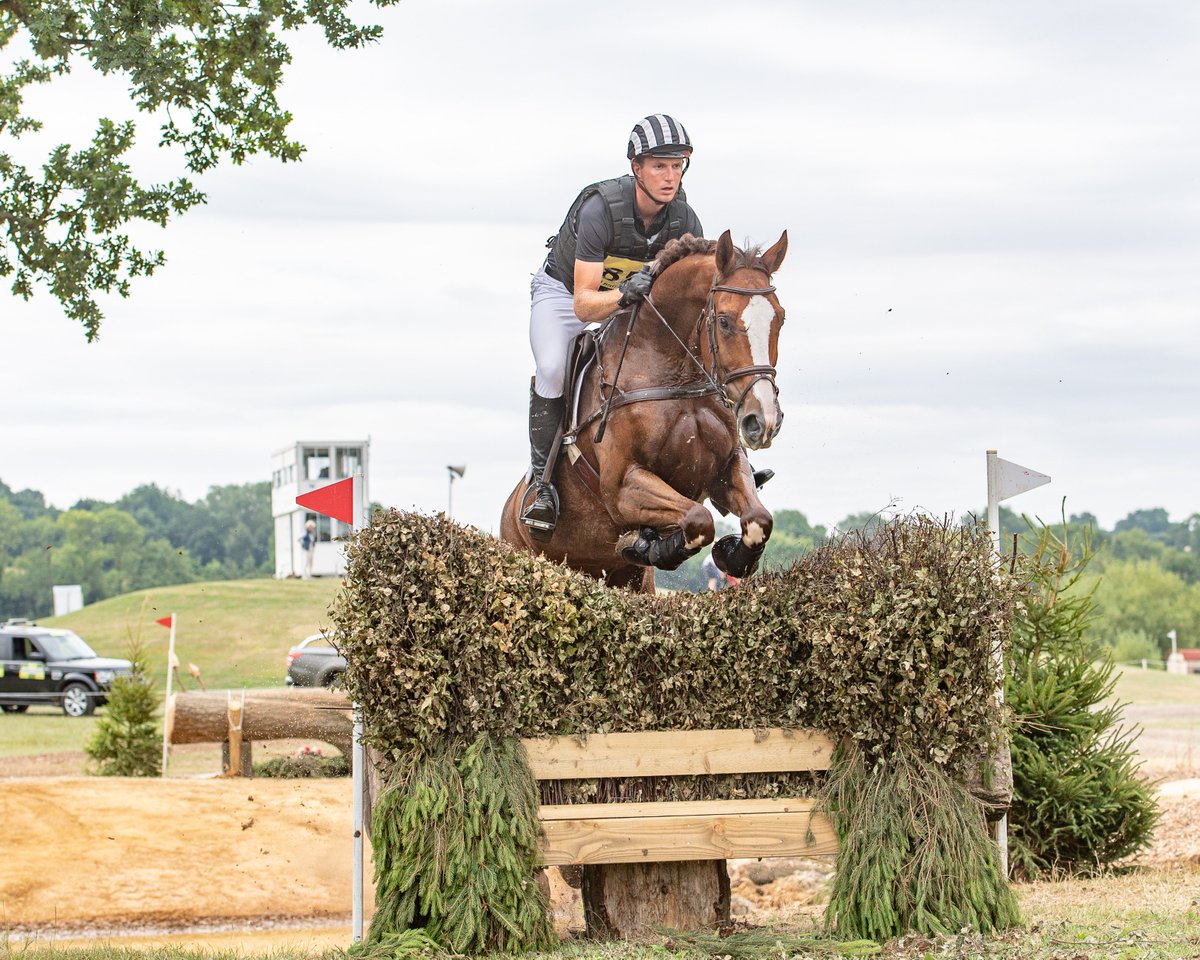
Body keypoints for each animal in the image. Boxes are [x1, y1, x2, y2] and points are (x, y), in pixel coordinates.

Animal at [500, 229, 788, 593]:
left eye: (781, 318)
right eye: (723, 321)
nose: (762, 421)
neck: (672, 370)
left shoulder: (726, 469)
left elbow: (758, 520)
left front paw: (730, 554)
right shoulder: (622, 486)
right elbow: (699, 520)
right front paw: (647, 544)